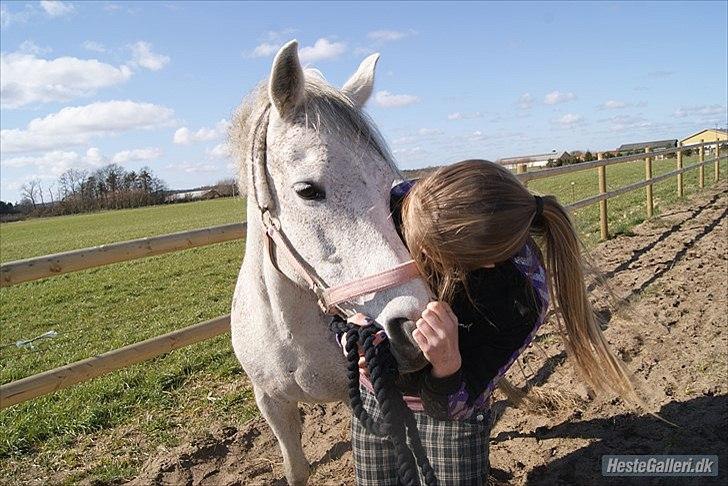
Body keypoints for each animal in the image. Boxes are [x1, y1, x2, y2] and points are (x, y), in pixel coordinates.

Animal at [230, 41, 430, 486]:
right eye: (308, 190)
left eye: (389, 185)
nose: (412, 324)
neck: (289, 332)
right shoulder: (271, 403)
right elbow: (296, 469)